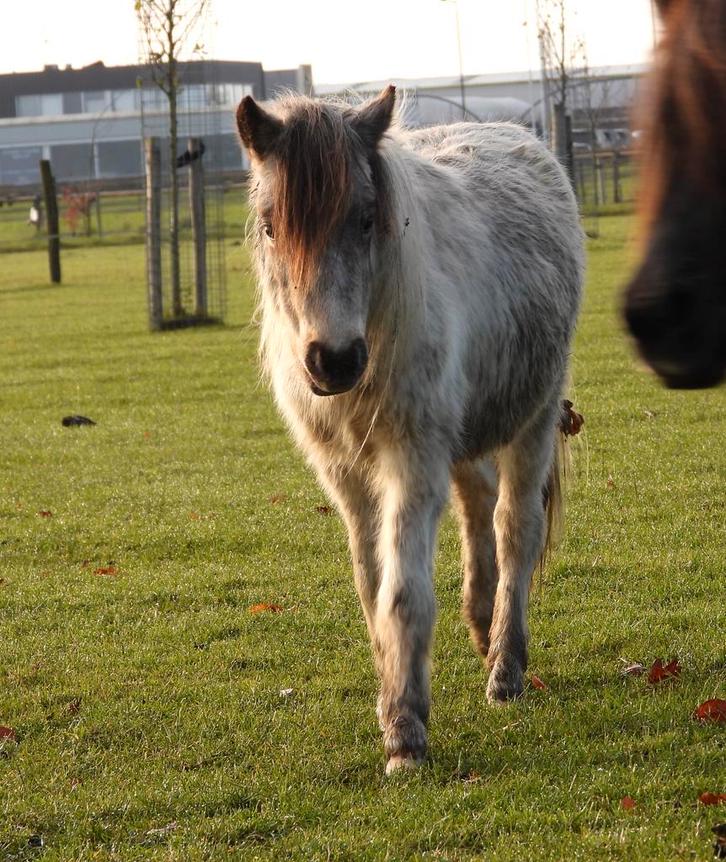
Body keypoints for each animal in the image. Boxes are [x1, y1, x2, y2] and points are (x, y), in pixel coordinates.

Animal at [236, 86, 584, 773]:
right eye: (270, 226)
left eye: (367, 219)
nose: (334, 360)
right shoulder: (346, 475)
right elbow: (372, 587)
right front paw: (393, 702)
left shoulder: (413, 460)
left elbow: (403, 592)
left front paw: (405, 732)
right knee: (478, 505)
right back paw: (481, 626)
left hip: (532, 419)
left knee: (514, 528)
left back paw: (506, 668)